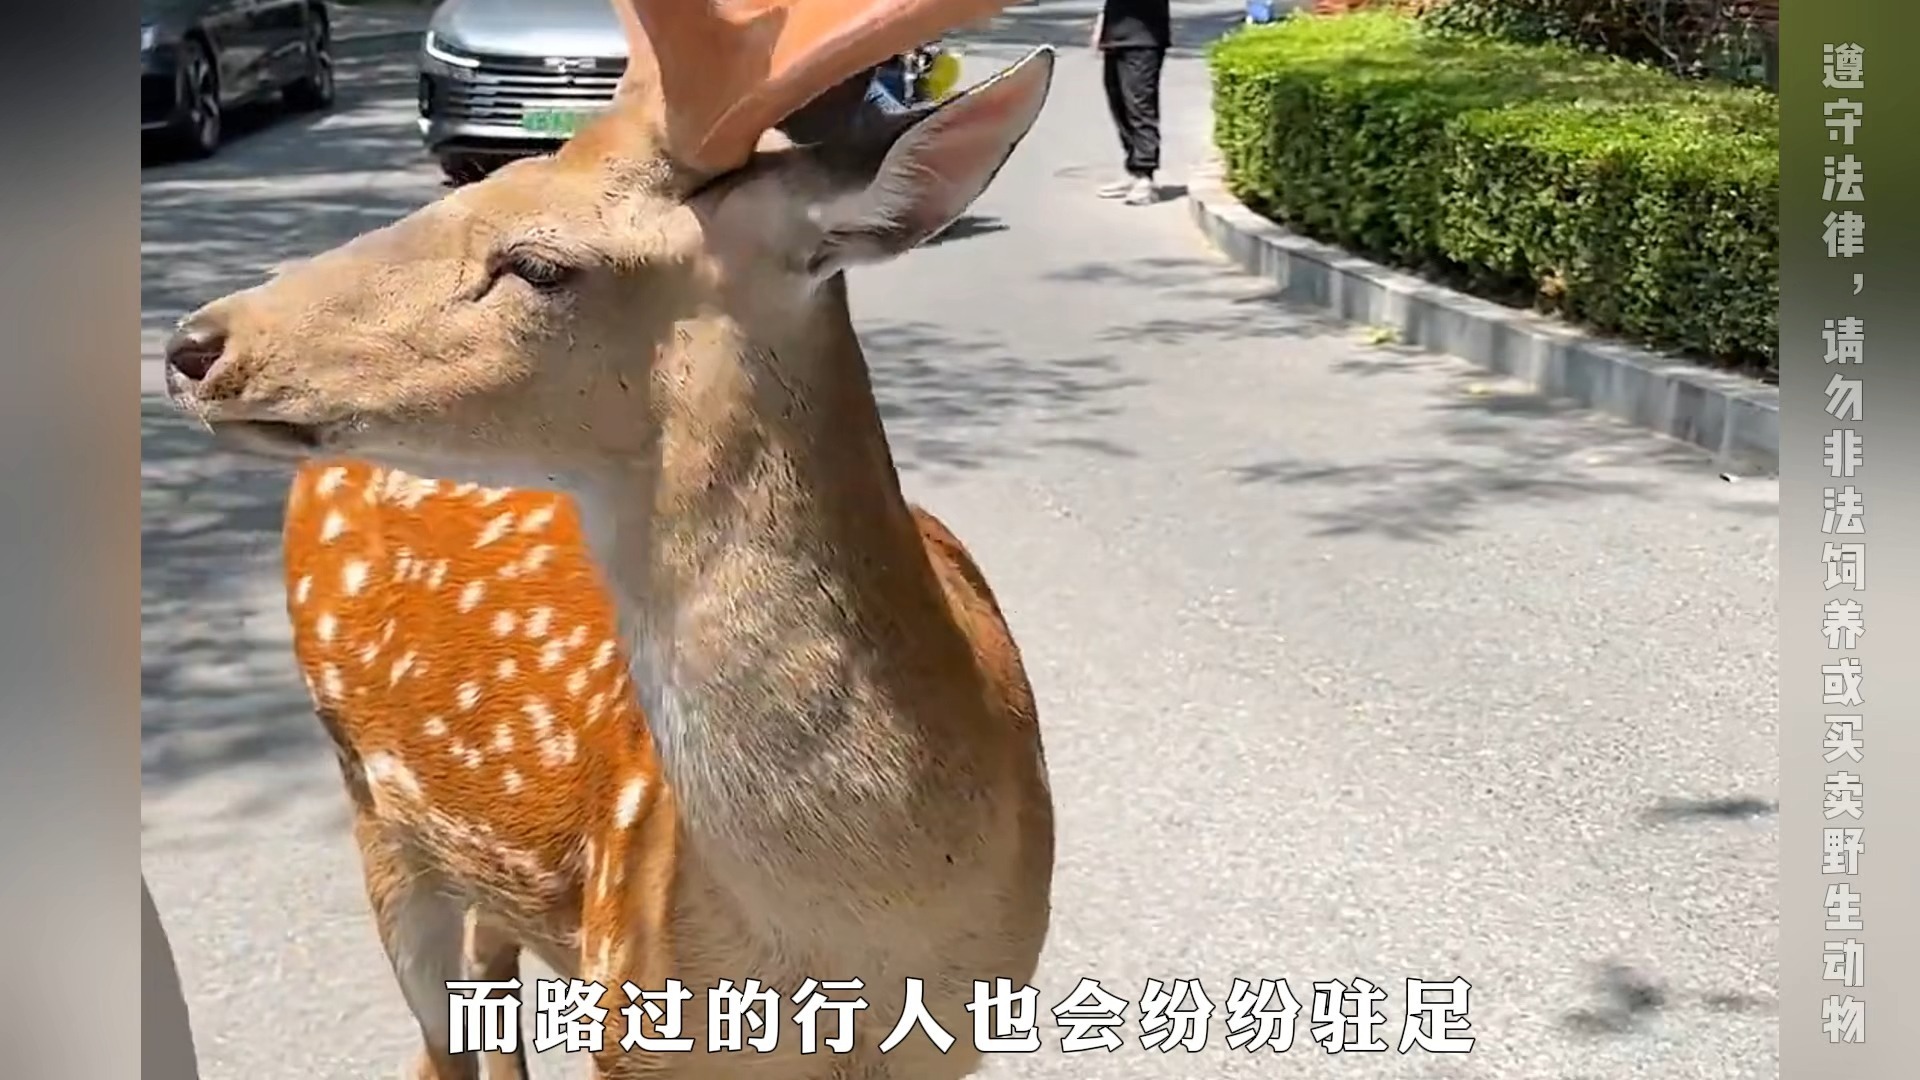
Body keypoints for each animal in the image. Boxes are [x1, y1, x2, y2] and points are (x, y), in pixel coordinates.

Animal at [160, 0, 1058, 1078]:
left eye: (540, 263)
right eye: (486, 179)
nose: (194, 344)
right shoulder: (630, 997)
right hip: (368, 797)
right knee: (439, 1034)